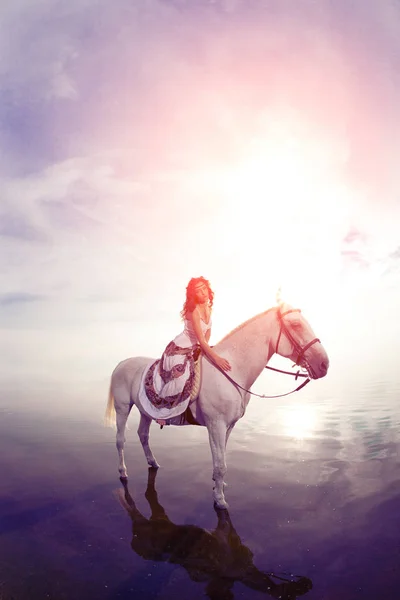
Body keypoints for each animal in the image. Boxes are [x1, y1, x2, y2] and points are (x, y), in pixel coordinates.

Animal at [105, 304, 328, 506]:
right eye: (296, 324)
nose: (324, 364)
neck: (232, 369)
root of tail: (121, 364)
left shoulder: (227, 426)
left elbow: (220, 459)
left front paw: (218, 486)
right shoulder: (216, 425)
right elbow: (220, 464)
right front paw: (220, 500)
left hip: (146, 412)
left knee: (143, 435)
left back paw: (153, 462)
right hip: (123, 408)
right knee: (120, 440)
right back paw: (123, 472)